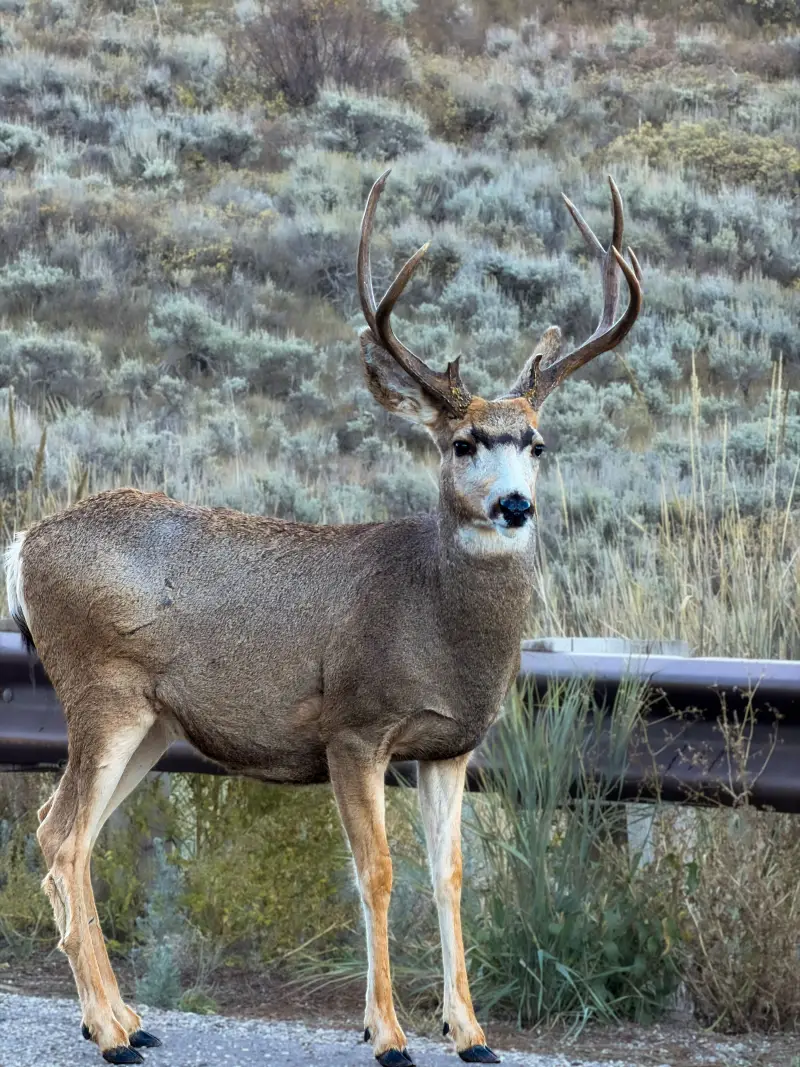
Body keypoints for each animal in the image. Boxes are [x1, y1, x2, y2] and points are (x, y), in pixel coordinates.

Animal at [4, 172, 641, 1067]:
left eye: (536, 442)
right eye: (463, 442)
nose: (514, 504)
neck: (433, 618)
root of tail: (24, 544)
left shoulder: (449, 745)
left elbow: (449, 876)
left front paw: (471, 1032)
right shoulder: (354, 726)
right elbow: (375, 871)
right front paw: (388, 1033)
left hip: (155, 724)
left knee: (66, 832)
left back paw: (125, 1018)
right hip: (102, 693)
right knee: (63, 835)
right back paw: (112, 1032)